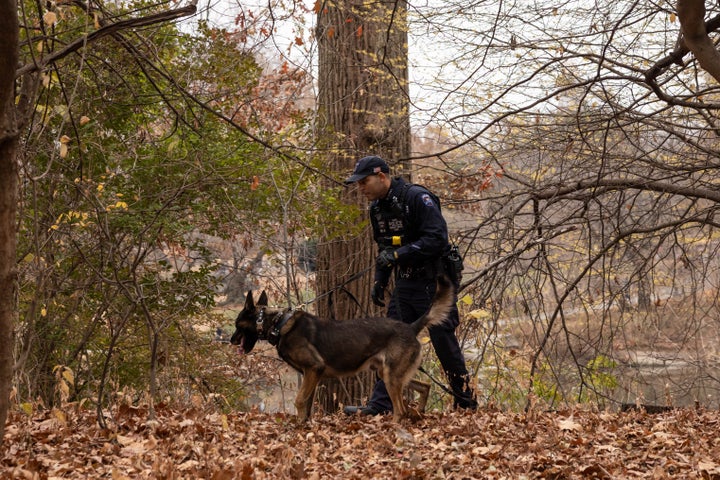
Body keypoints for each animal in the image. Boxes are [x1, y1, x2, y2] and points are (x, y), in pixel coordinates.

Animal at [231, 276, 452, 422]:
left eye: (236, 324)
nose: (231, 341)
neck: (279, 324)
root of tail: (411, 327)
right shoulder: (312, 375)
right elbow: (307, 405)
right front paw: (304, 425)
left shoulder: (314, 368)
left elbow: (300, 401)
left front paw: (298, 429)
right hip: (387, 373)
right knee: (425, 386)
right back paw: (420, 412)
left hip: (391, 377)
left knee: (401, 409)